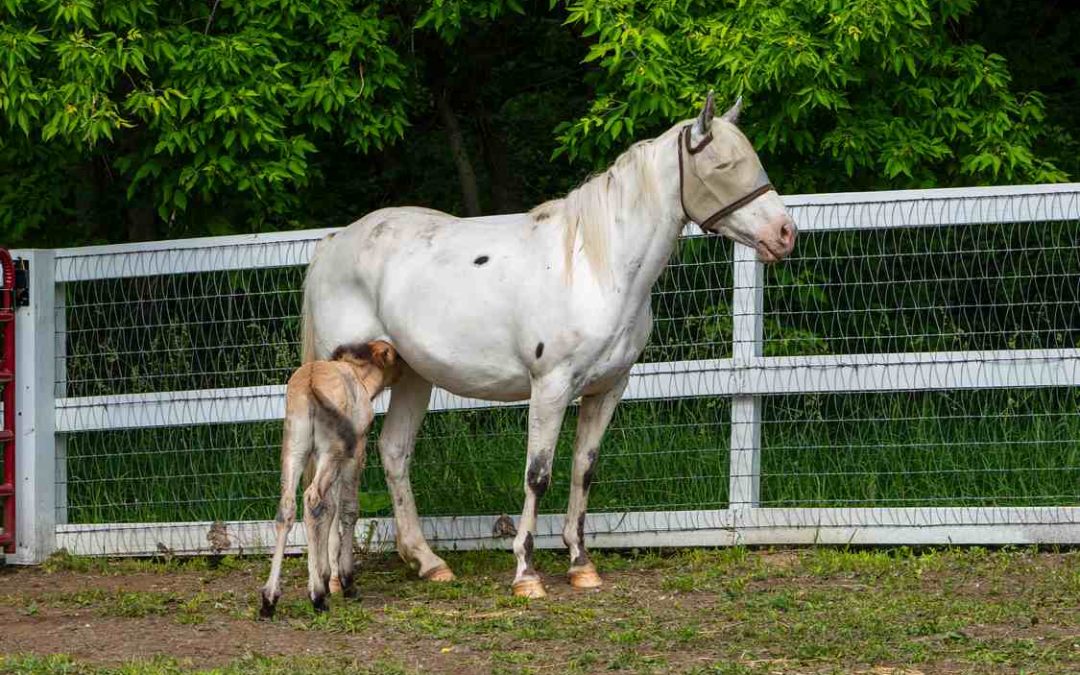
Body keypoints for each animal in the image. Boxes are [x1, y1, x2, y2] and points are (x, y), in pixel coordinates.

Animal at [260, 340, 401, 617]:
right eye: (395, 355)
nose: (405, 369)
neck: (361, 379)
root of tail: (310, 385)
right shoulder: (355, 450)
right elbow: (347, 508)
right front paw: (346, 582)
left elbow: (331, 508)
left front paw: (326, 575)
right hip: (330, 450)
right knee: (311, 500)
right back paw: (316, 596)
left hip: (295, 448)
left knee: (288, 506)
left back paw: (270, 599)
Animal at [300, 92, 796, 598]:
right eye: (723, 165)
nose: (785, 234)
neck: (596, 267)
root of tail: (333, 244)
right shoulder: (551, 387)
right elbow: (537, 476)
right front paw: (526, 573)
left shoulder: (608, 388)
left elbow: (584, 469)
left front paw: (581, 564)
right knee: (334, 470)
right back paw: (335, 580)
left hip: (414, 376)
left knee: (394, 453)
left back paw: (426, 561)